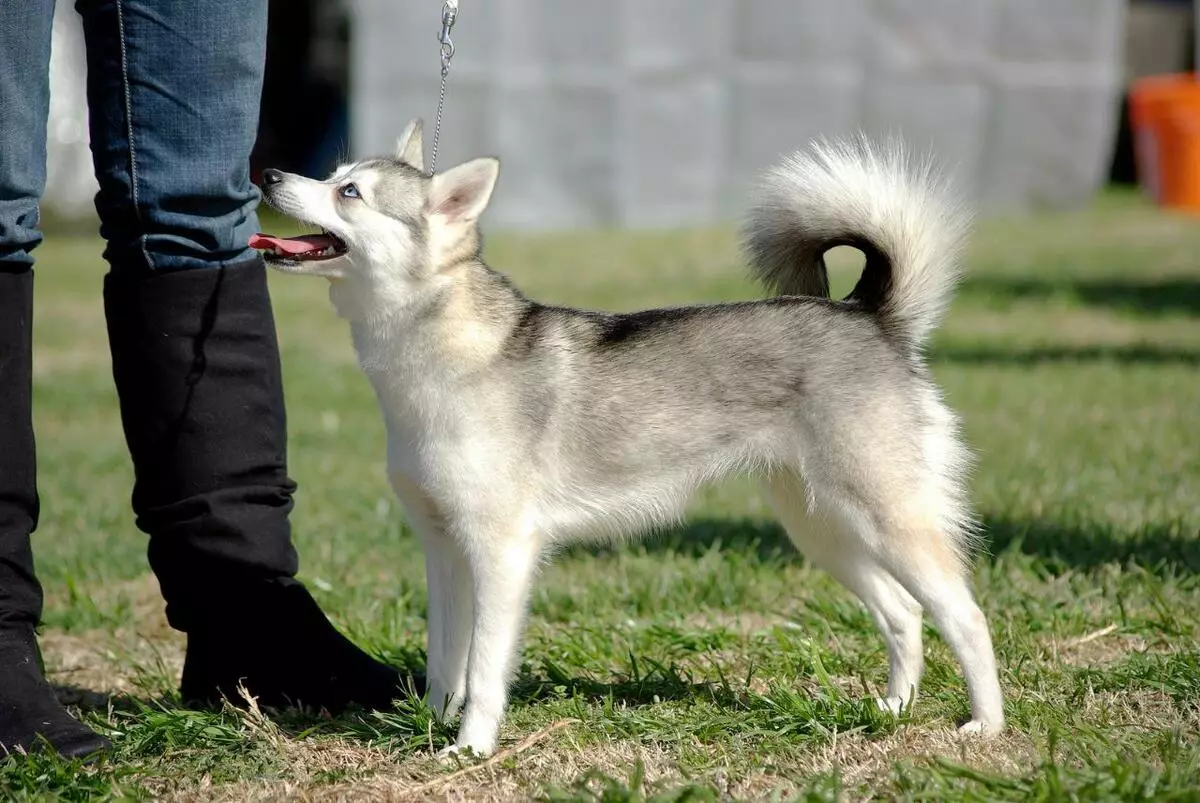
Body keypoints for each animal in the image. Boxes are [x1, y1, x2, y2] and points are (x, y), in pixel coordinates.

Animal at [250, 117, 1003, 753]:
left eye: (349, 192)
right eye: (333, 172)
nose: (267, 174)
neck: (430, 357)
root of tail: (867, 314)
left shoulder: (501, 552)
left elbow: (486, 668)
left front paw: (470, 749)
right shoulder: (443, 549)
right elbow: (445, 662)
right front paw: (433, 726)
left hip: (887, 521)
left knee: (965, 617)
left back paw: (985, 725)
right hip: (825, 529)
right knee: (904, 614)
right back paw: (892, 710)